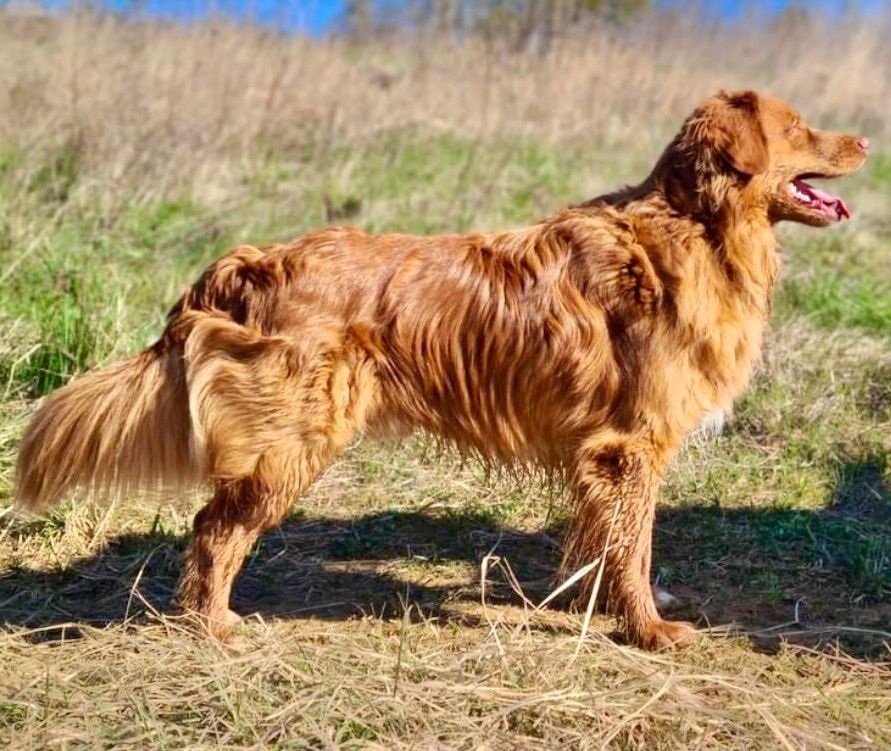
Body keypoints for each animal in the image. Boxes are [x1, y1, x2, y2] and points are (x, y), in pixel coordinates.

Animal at [14, 90, 868, 649]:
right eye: (799, 128)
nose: (865, 142)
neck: (694, 227)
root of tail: (251, 260)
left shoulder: (601, 455)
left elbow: (603, 543)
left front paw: (595, 609)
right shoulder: (630, 445)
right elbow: (633, 545)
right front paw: (649, 629)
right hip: (297, 436)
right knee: (215, 526)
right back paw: (214, 623)